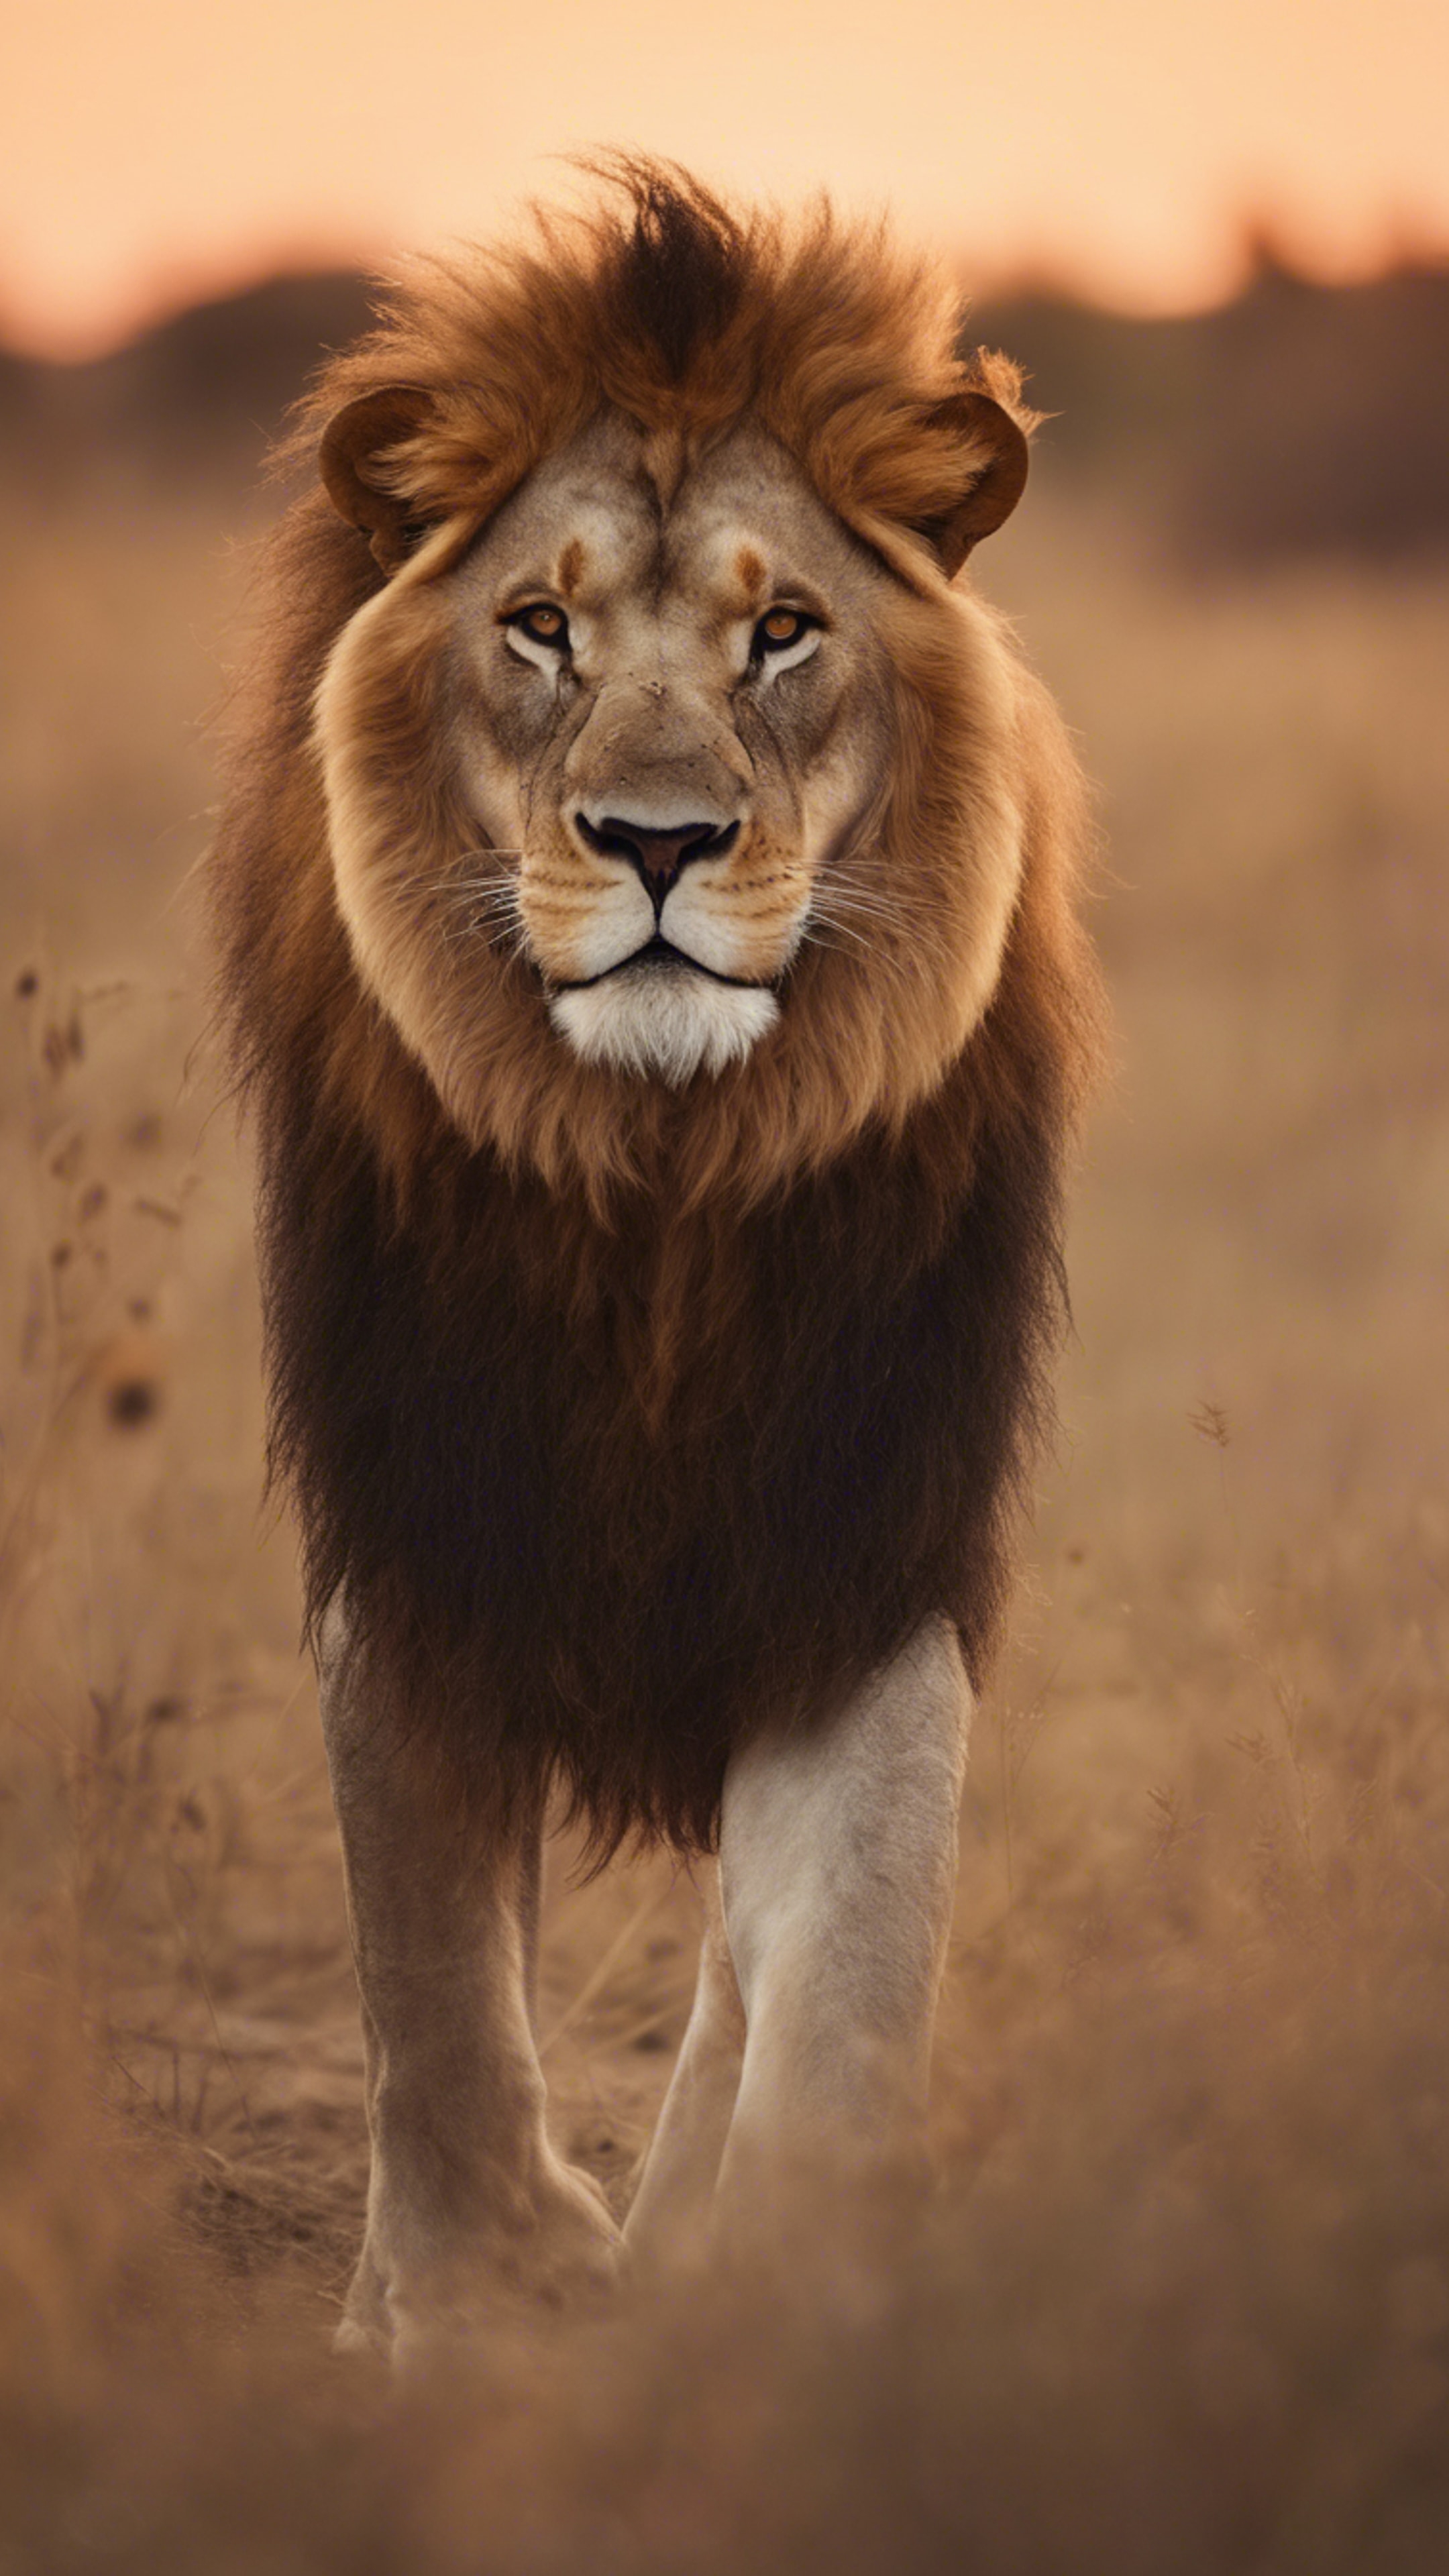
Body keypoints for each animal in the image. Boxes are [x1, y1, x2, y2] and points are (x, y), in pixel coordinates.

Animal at [209, 150, 1098, 2349]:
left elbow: (847, 1966)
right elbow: (434, 1996)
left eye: (782, 632)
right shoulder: (417, 1544)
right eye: (541, 627)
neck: (666, 1196)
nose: (662, 842)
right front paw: (477, 2292)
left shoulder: (868, 1552)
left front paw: (775, 2286)